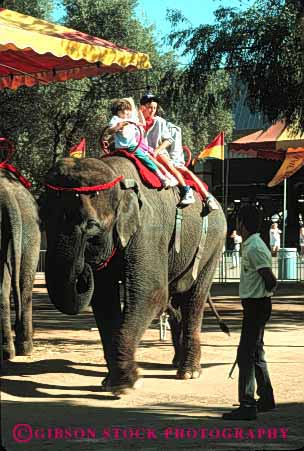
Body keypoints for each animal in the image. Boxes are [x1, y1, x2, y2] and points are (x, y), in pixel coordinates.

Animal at [42, 157, 227, 394]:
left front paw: (125, 386)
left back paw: (189, 372)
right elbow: (104, 300)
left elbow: (150, 294)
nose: (85, 270)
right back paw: (177, 362)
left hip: (214, 246)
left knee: (194, 300)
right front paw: (111, 382)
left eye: (92, 227)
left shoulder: (148, 230)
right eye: (42, 220)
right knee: (174, 301)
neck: (117, 176)